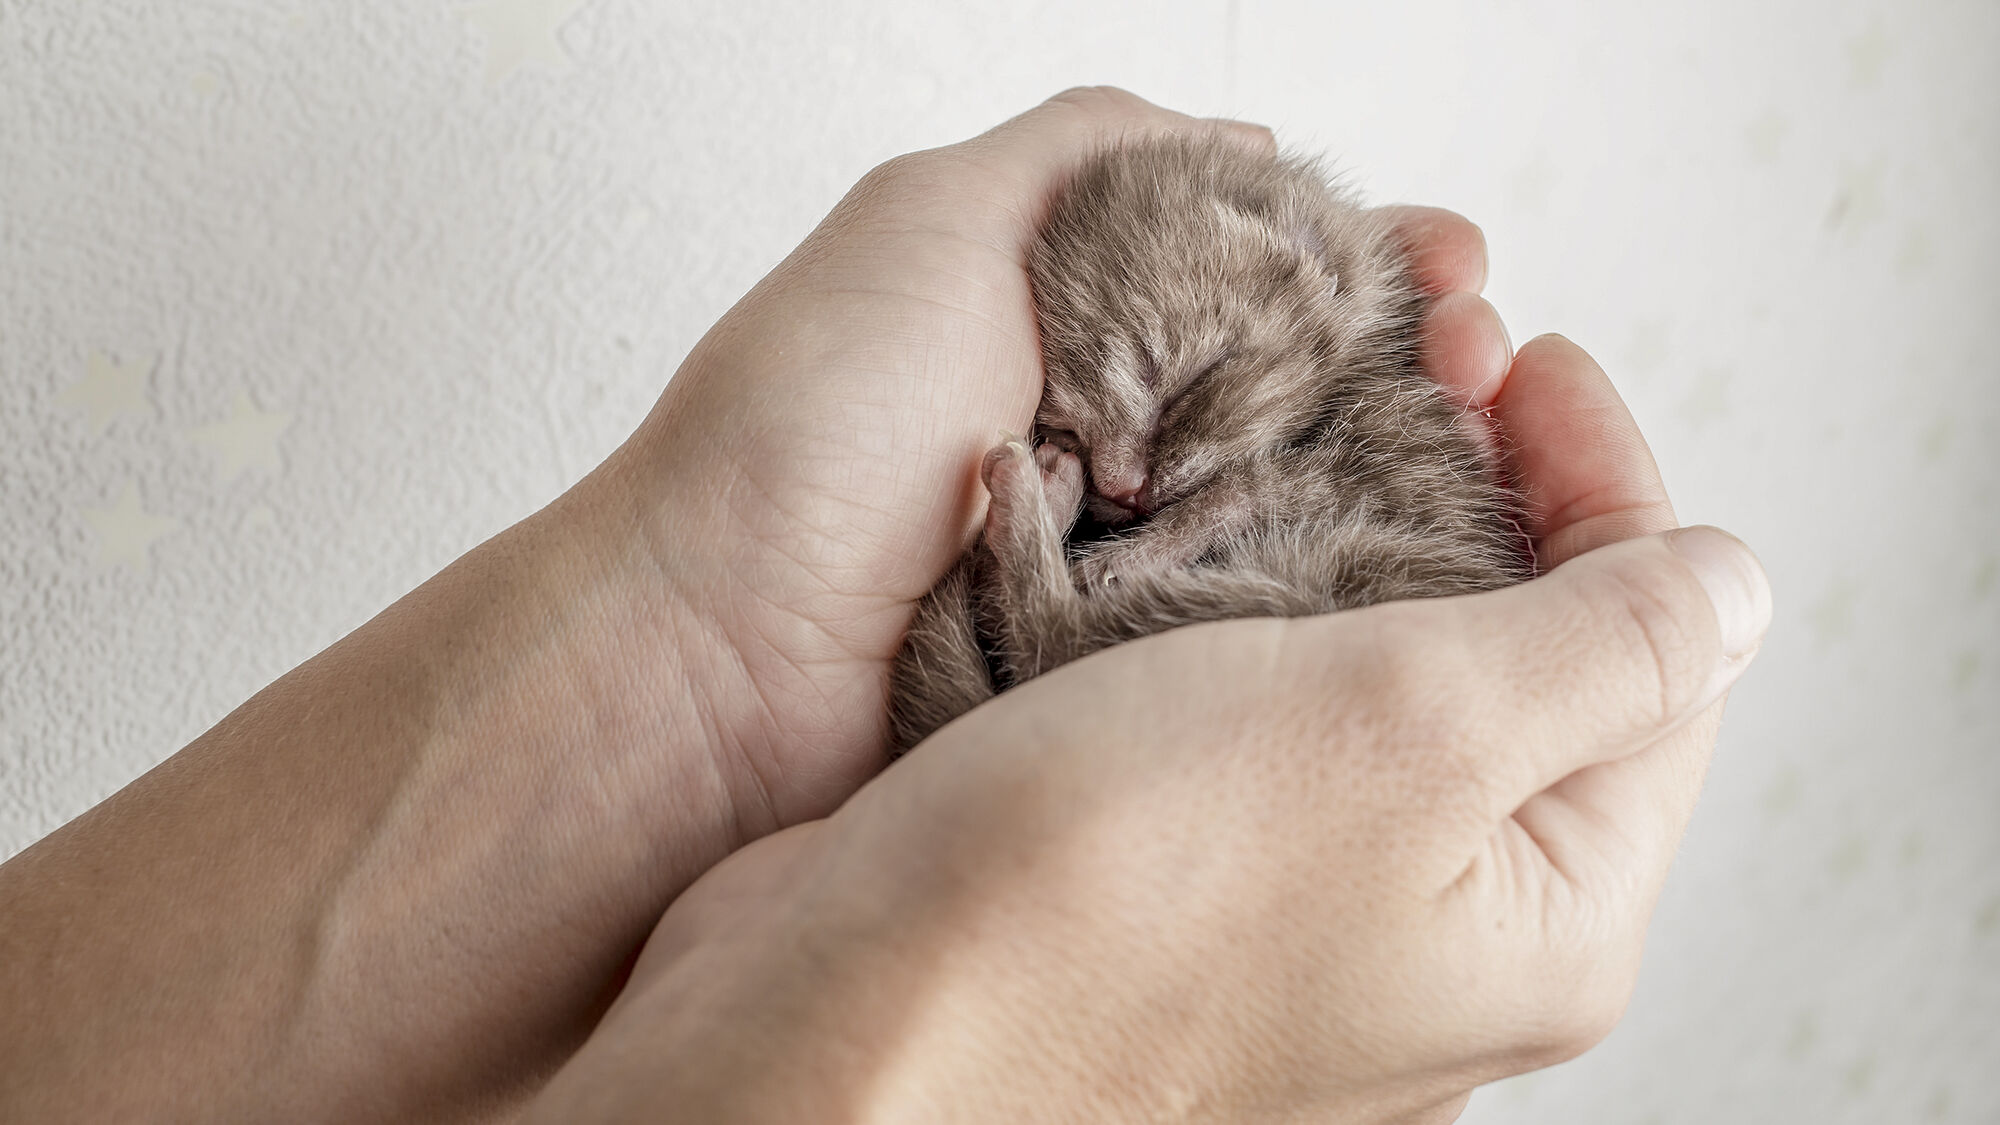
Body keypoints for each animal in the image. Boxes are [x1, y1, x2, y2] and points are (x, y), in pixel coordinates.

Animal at [884, 133, 1520, 752]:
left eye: (1191, 384)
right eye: (1069, 429)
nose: (1123, 487)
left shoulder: (1389, 468)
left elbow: (1236, 491)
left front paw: (1128, 555)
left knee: (1056, 642)